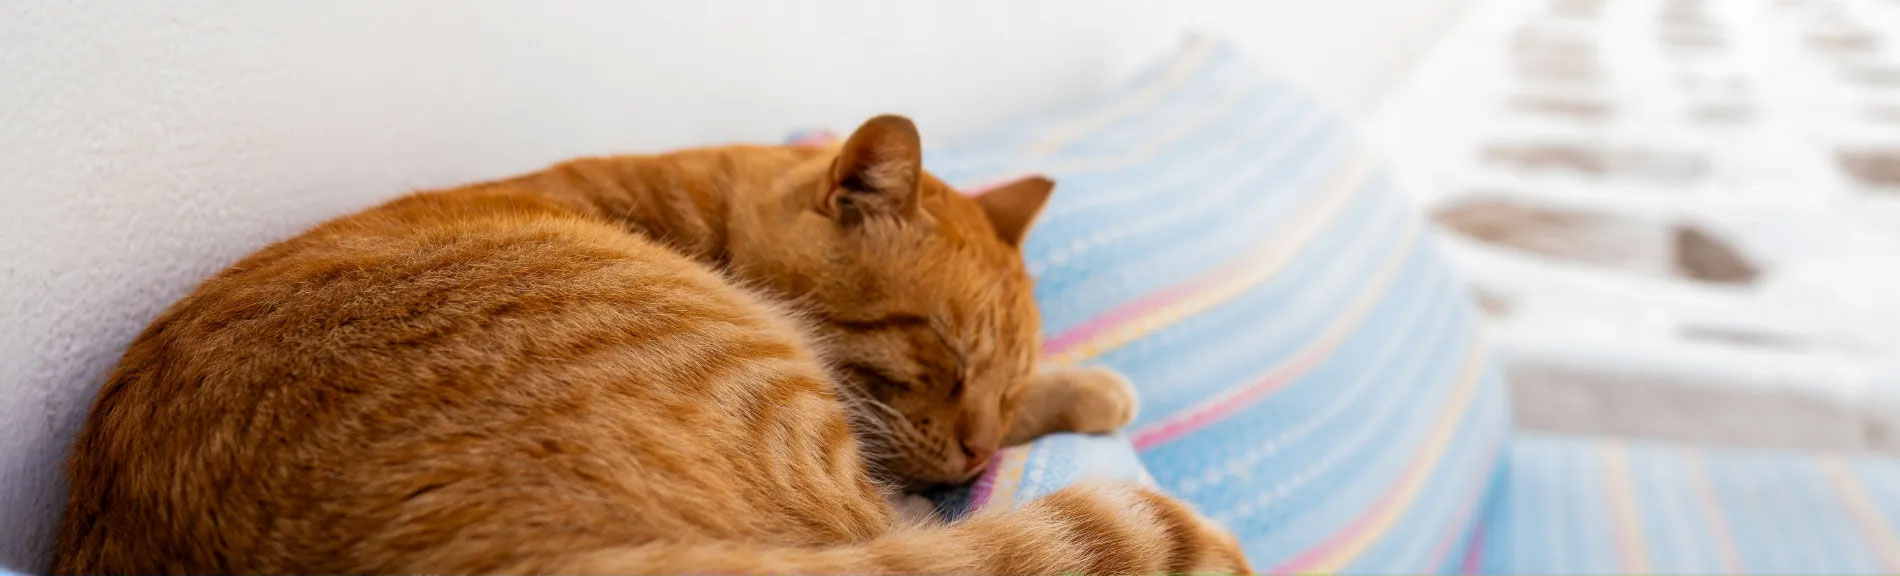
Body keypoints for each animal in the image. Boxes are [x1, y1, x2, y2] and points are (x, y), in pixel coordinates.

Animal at [52, 115, 1246, 574]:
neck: (694, 211)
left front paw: (1078, 388)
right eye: (944, 362)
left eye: (997, 391)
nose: (978, 453)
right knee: (885, 532)